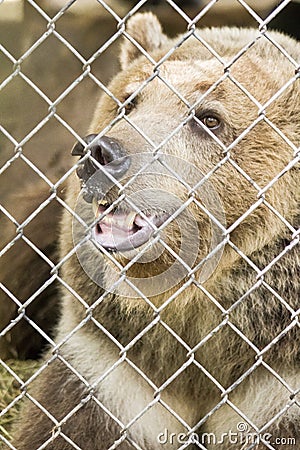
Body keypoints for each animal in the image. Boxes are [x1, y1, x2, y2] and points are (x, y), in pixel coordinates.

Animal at [8, 12, 298, 448]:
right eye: (129, 101)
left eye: (209, 118)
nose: (100, 153)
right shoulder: (113, 370)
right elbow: (72, 425)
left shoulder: (278, 385)